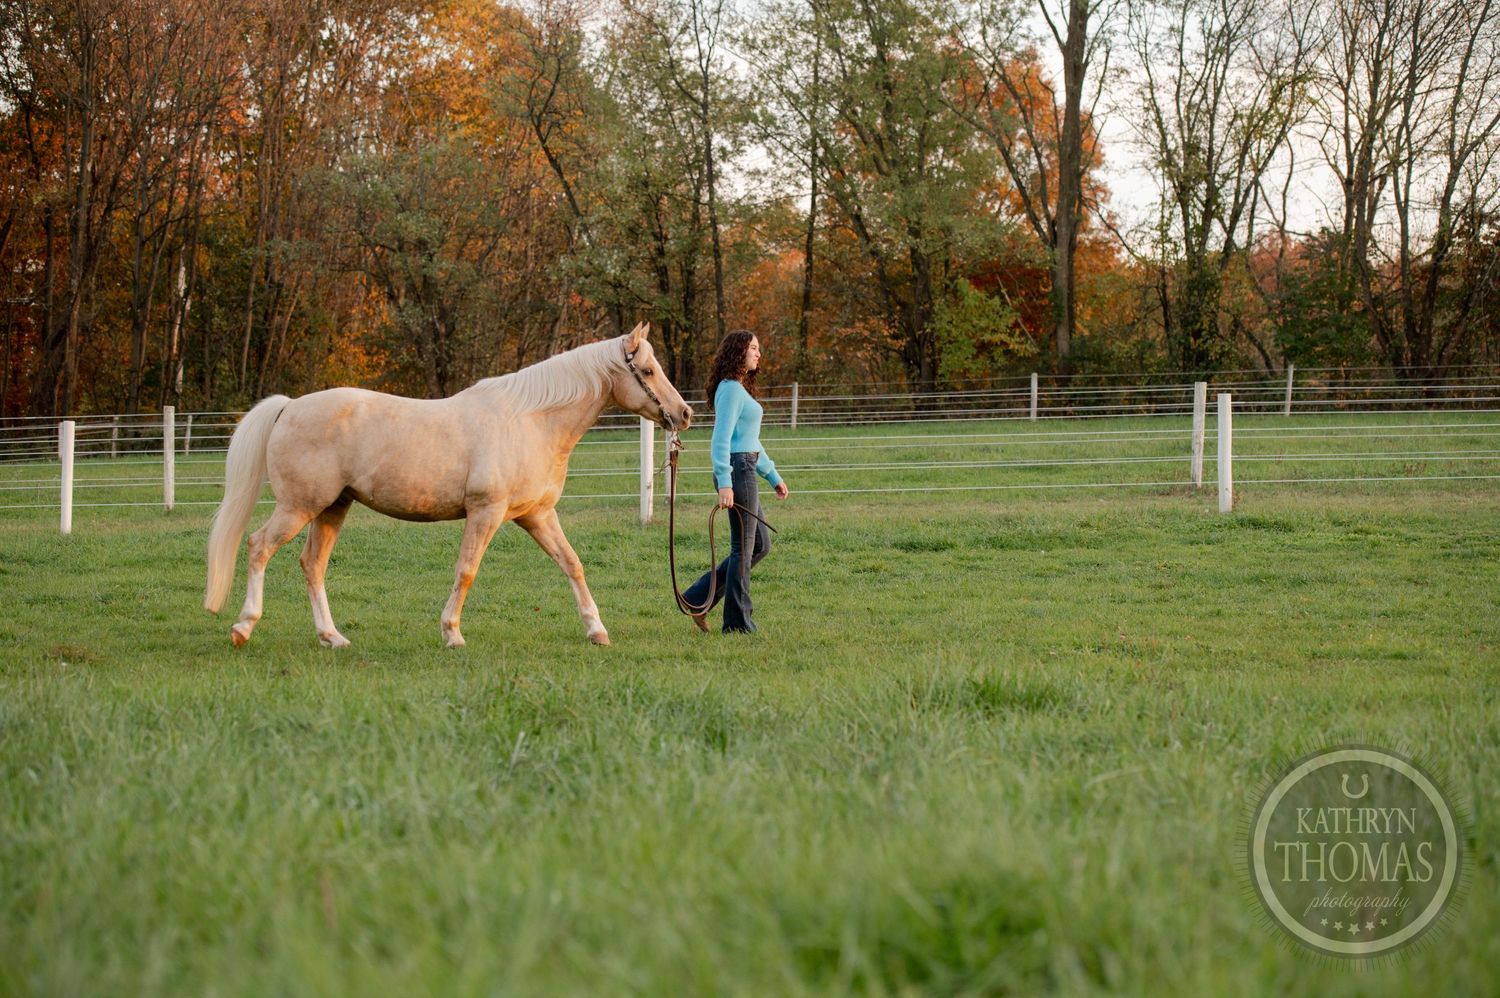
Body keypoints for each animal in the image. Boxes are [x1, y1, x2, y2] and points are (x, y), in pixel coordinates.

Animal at [203, 322, 691, 649]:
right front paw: (452, 633)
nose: (683, 414)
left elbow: (572, 564)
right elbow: (467, 570)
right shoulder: (486, 513)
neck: (531, 422)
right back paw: (243, 626)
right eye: (648, 371)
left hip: (332, 508)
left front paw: (596, 630)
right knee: (259, 547)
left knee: (312, 565)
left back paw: (332, 637)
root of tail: (289, 407)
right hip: (299, 506)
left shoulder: (537, 516)